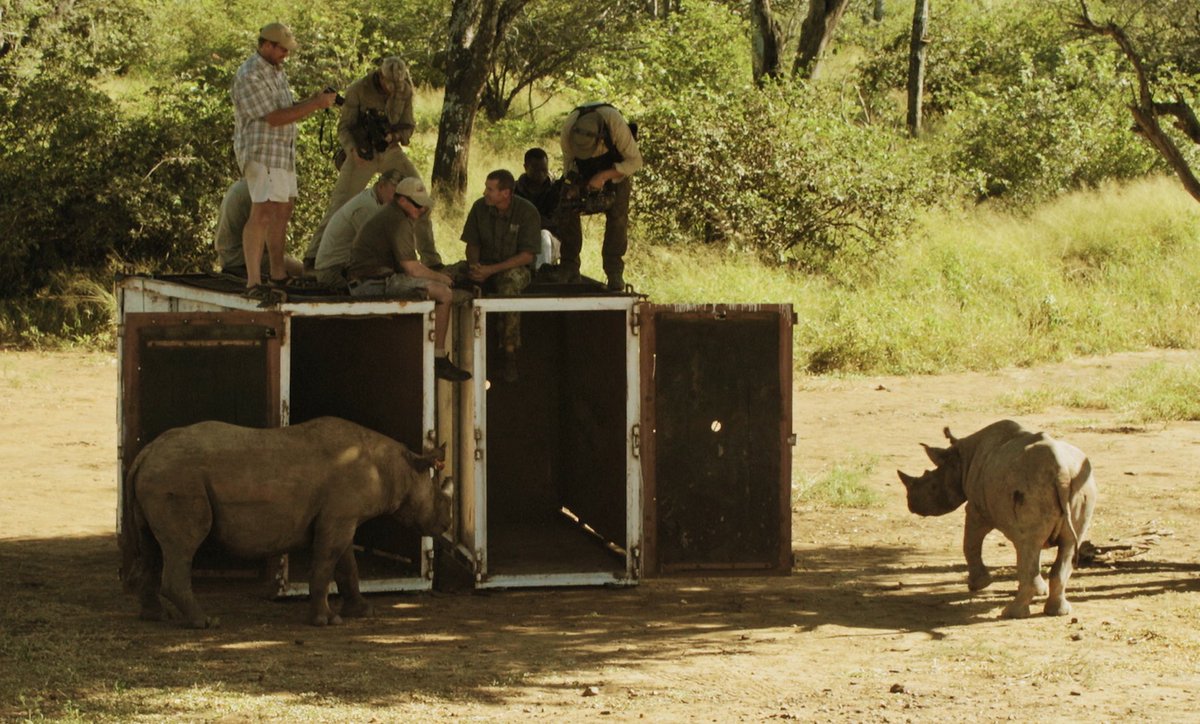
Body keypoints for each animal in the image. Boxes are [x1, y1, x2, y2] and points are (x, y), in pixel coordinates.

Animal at [121, 417, 452, 628]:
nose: (446, 525)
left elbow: (347, 566)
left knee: (152, 546)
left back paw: (156, 617)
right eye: (438, 498)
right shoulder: (339, 518)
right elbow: (325, 565)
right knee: (183, 546)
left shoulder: (341, 517)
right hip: (176, 476)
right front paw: (325, 621)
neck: (398, 468)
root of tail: (145, 454)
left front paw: (363, 611)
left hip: (161, 474)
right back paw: (205, 622)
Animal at [897, 419, 1098, 619]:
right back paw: (1058, 612)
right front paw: (1041, 591)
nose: (910, 504)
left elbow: (970, 543)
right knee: (1064, 546)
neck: (962, 459)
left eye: (932, 486)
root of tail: (1062, 473)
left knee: (1027, 544)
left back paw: (1011, 613)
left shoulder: (977, 509)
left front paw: (979, 584)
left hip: (1034, 487)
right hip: (1082, 485)